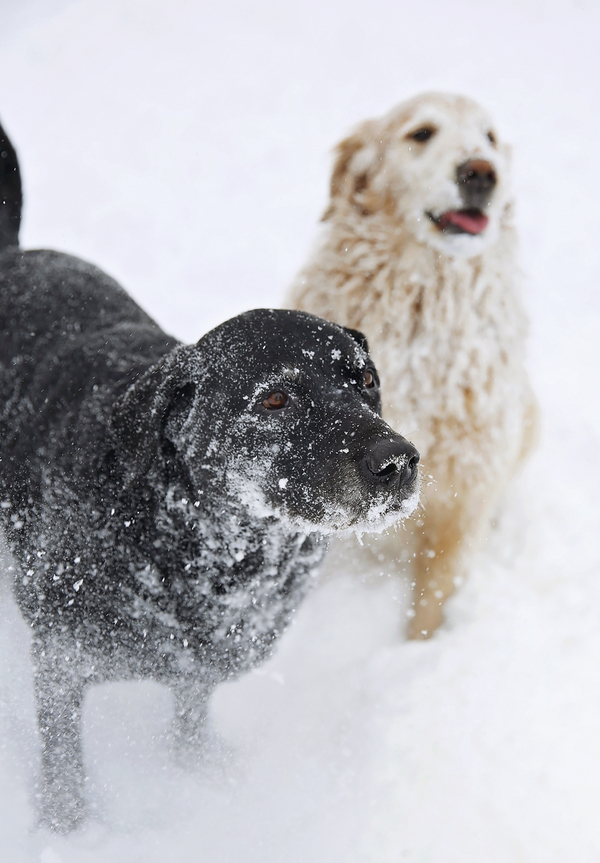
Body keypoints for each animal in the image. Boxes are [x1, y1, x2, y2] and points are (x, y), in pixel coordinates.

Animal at [0, 121, 418, 832]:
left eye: (365, 379)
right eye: (274, 399)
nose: (397, 462)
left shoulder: (208, 664)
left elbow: (192, 715)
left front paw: (199, 775)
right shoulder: (62, 663)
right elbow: (64, 767)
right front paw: (69, 829)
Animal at [286, 91, 540, 636]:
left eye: (489, 137)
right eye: (421, 133)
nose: (481, 172)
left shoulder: (465, 498)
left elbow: (433, 601)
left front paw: (417, 649)